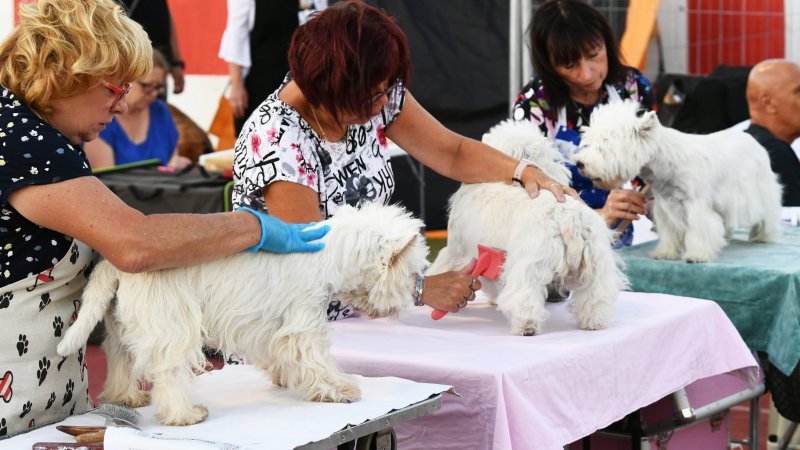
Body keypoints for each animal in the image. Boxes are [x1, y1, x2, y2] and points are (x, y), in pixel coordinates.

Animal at [57, 204, 428, 426]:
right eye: (411, 272)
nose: (410, 299)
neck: (327, 256)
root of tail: (114, 266)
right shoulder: (304, 324)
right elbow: (319, 361)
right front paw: (339, 390)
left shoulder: (273, 328)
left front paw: (285, 378)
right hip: (172, 326)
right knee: (169, 373)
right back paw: (185, 414)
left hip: (122, 325)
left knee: (119, 357)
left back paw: (126, 397)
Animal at [428, 121, 628, 336]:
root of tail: (568, 216)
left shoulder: (458, 251)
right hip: (597, 265)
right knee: (595, 297)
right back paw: (594, 322)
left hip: (530, 265)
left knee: (524, 298)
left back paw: (527, 327)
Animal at [576, 98, 780, 260]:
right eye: (589, 143)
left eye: (605, 146)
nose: (579, 163)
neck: (664, 163)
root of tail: (754, 141)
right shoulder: (666, 206)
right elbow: (669, 232)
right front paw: (665, 253)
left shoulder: (696, 205)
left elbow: (698, 229)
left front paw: (696, 255)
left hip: (760, 190)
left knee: (768, 215)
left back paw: (764, 237)